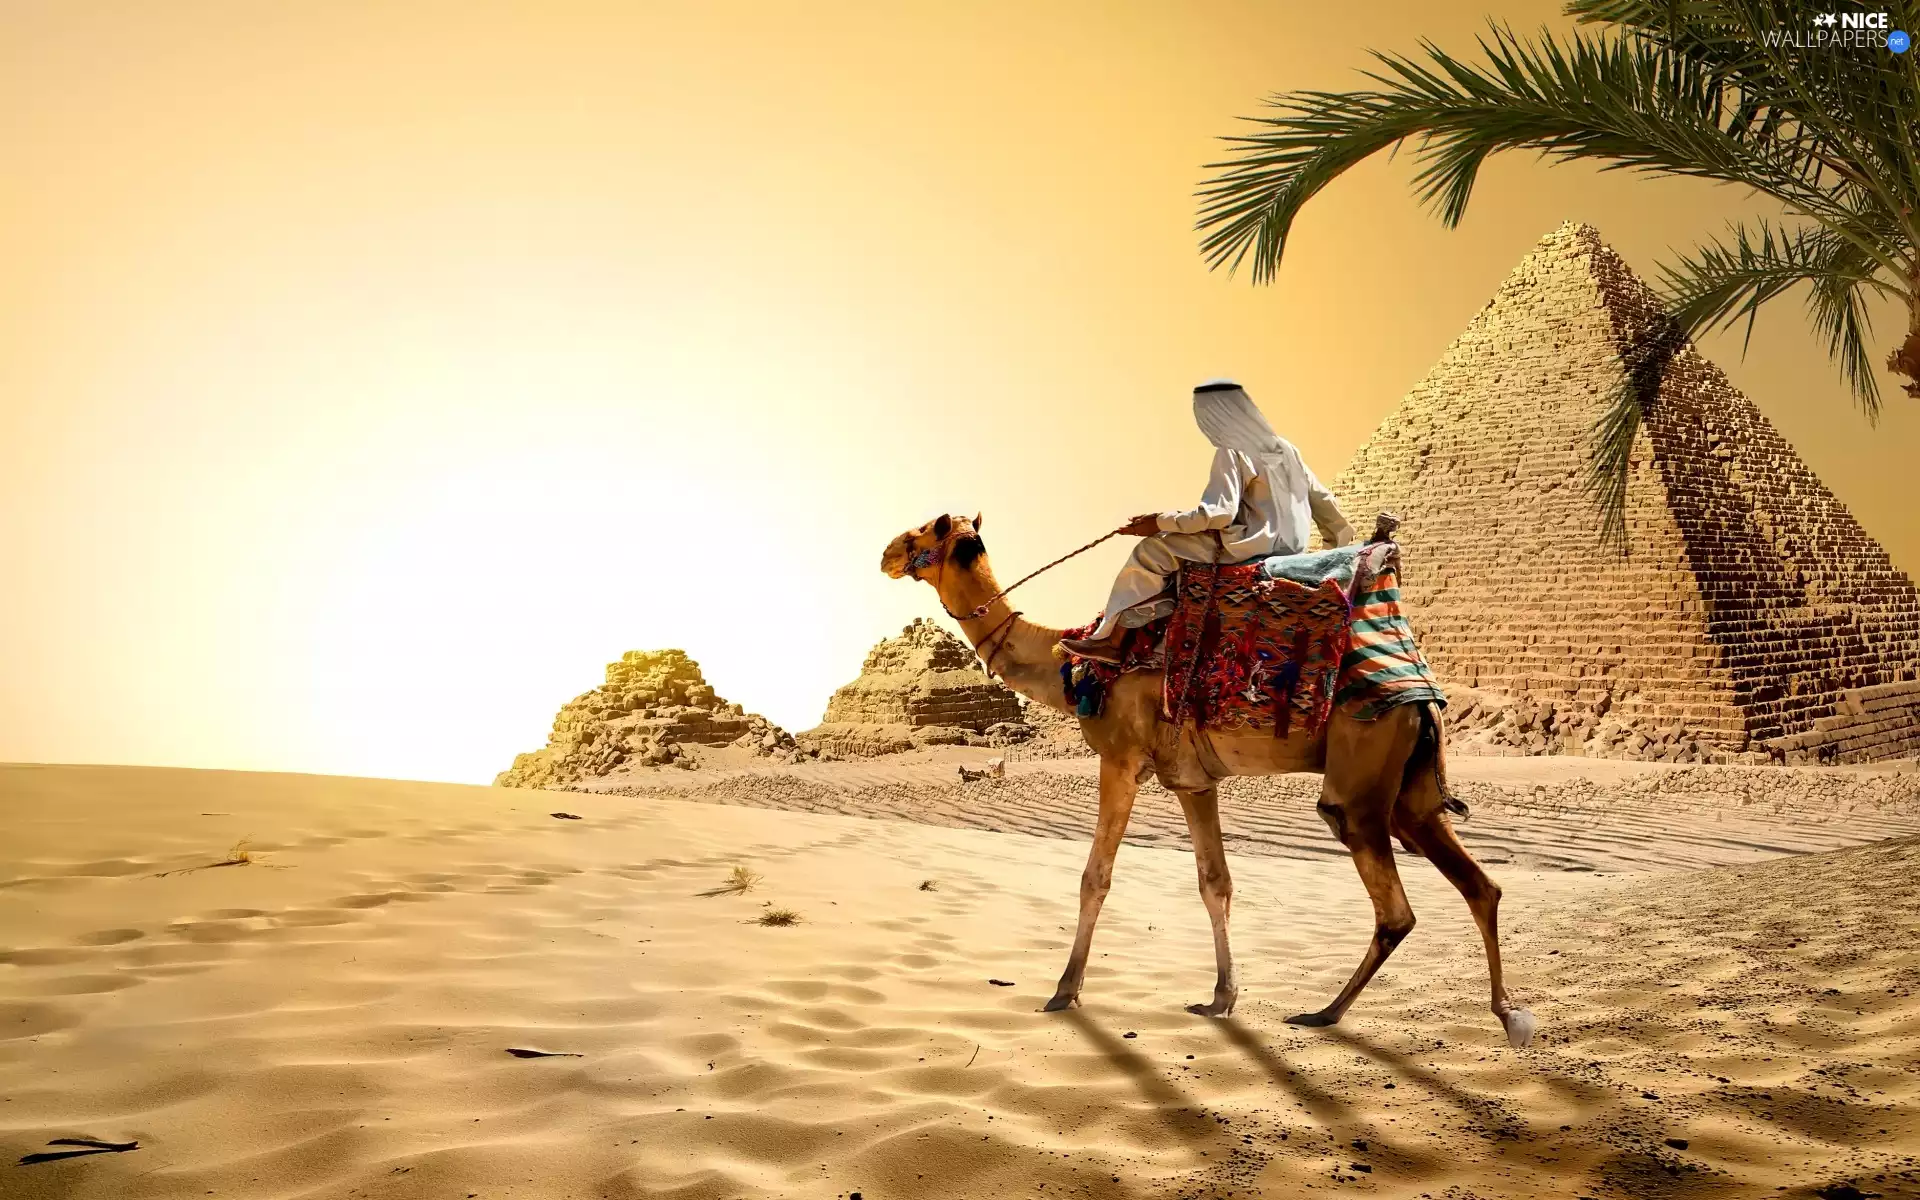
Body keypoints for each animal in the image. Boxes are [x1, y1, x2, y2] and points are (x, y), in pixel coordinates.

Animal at [883, 513, 1536, 1049]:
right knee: (1480, 886)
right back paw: (1507, 1014)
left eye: (921, 532)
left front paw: (1064, 991)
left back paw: (1324, 1013)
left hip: (1361, 780)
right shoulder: (1194, 781)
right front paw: (1222, 997)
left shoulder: (1120, 760)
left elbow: (1096, 879)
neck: (1067, 663)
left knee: (1394, 905)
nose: (886, 553)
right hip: (1411, 793)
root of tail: (1420, 691)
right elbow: (1215, 883)